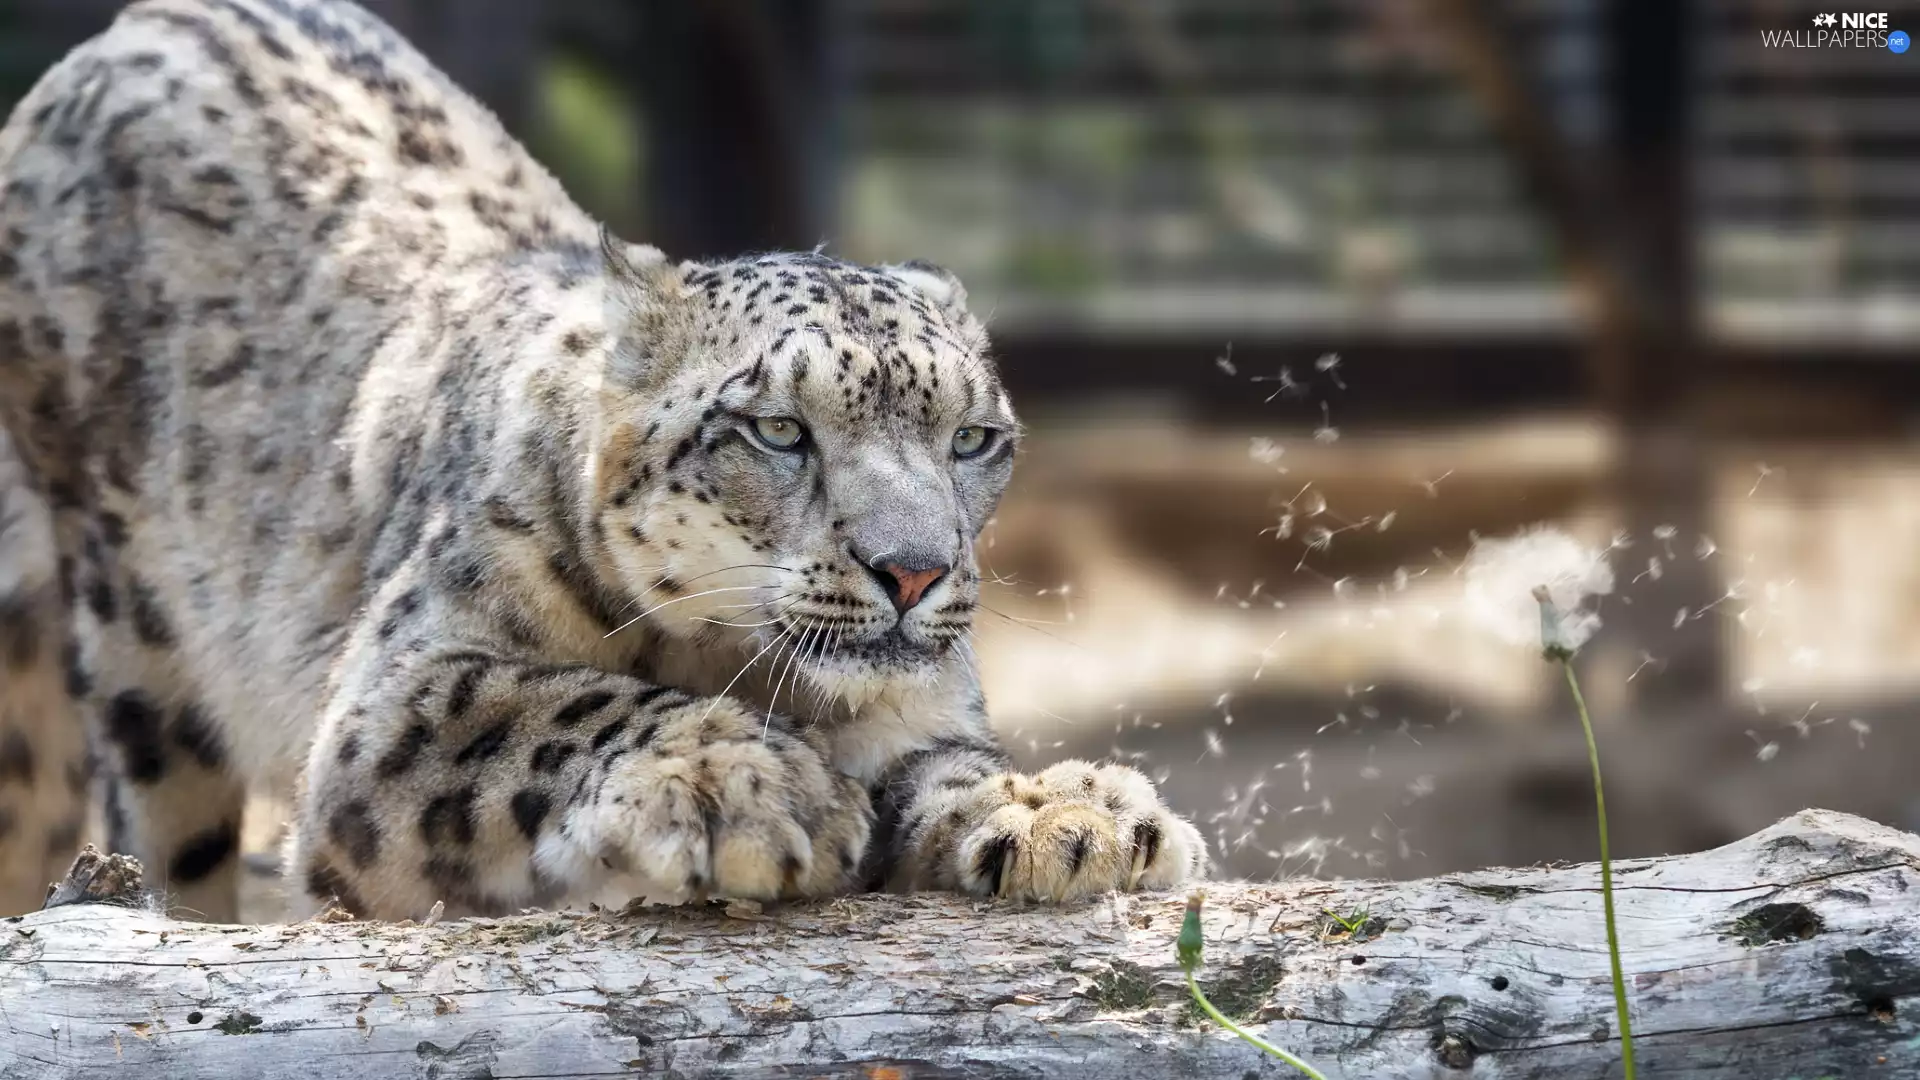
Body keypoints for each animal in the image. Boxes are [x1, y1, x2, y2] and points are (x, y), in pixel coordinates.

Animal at [0, 0, 1206, 923]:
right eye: (779, 430)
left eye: (972, 437)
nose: (913, 572)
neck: (724, 658)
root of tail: (134, 26)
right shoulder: (393, 698)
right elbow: (544, 702)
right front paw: (744, 780)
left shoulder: (917, 706)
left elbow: (945, 760)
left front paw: (1066, 813)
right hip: (136, 641)